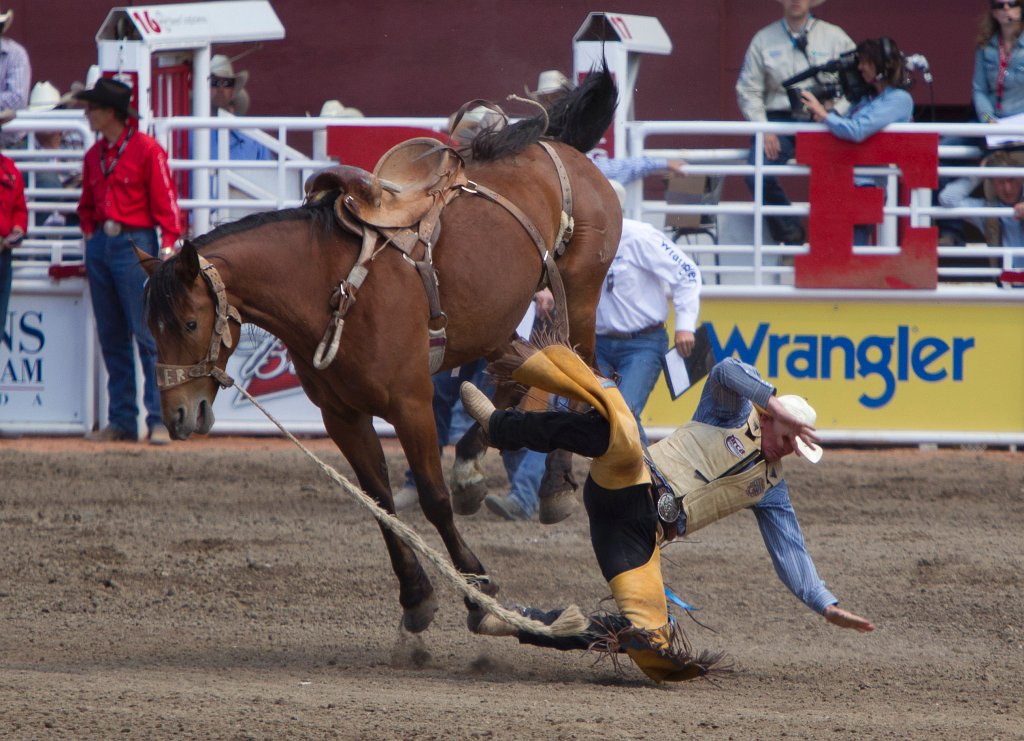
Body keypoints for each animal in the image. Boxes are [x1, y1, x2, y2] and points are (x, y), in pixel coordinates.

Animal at [140, 69, 618, 634]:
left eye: (191, 323)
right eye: (151, 327)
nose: (178, 414)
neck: (328, 284)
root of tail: (554, 143)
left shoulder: (411, 405)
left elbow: (432, 499)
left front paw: (478, 594)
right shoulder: (342, 416)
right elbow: (380, 502)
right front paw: (416, 597)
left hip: (581, 291)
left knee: (584, 372)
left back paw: (555, 486)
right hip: (498, 319)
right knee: (511, 382)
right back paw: (472, 469)